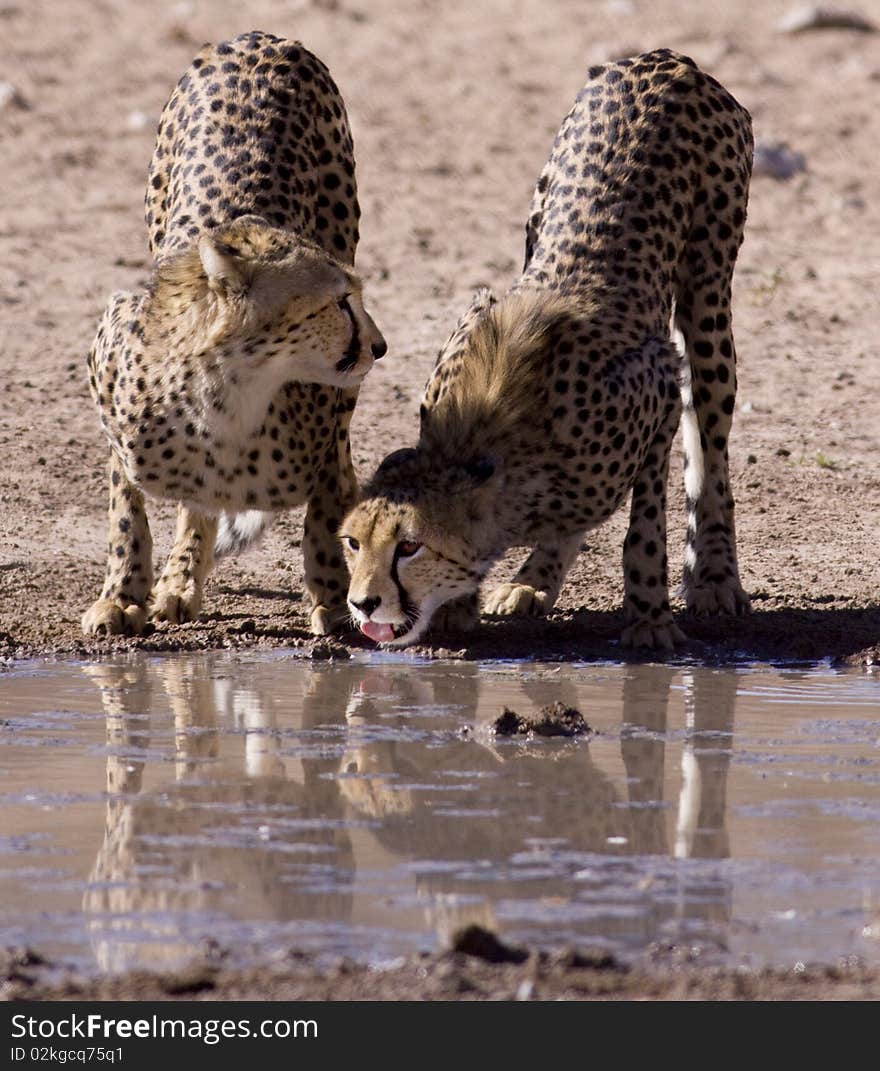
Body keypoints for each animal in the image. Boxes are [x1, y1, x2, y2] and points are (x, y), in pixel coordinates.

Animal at [82, 29, 385, 638]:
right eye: (338, 302)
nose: (380, 346)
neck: (227, 397)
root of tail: (264, 36)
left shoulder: (331, 421)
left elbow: (328, 502)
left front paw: (331, 595)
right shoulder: (111, 369)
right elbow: (127, 511)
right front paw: (123, 596)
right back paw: (178, 581)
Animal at [340, 50, 753, 646]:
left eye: (409, 546)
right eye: (353, 542)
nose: (363, 603)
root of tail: (666, 60)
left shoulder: (658, 385)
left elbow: (645, 528)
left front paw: (649, 616)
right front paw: (473, 601)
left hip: (709, 293)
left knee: (711, 445)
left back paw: (715, 576)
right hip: (537, 214)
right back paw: (532, 580)